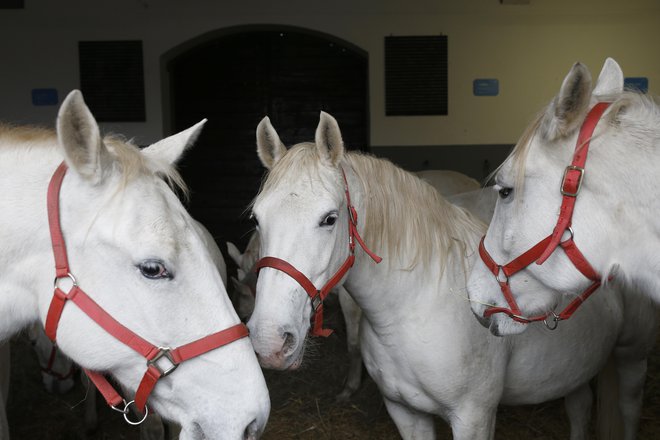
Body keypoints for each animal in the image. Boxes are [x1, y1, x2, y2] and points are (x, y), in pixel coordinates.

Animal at [246, 111, 656, 440]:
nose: (269, 341)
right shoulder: (406, 412)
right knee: (580, 406)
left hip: (632, 355)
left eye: (329, 218)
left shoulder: (473, 417)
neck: (412, 306)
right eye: (257, 218)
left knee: (629, 406)